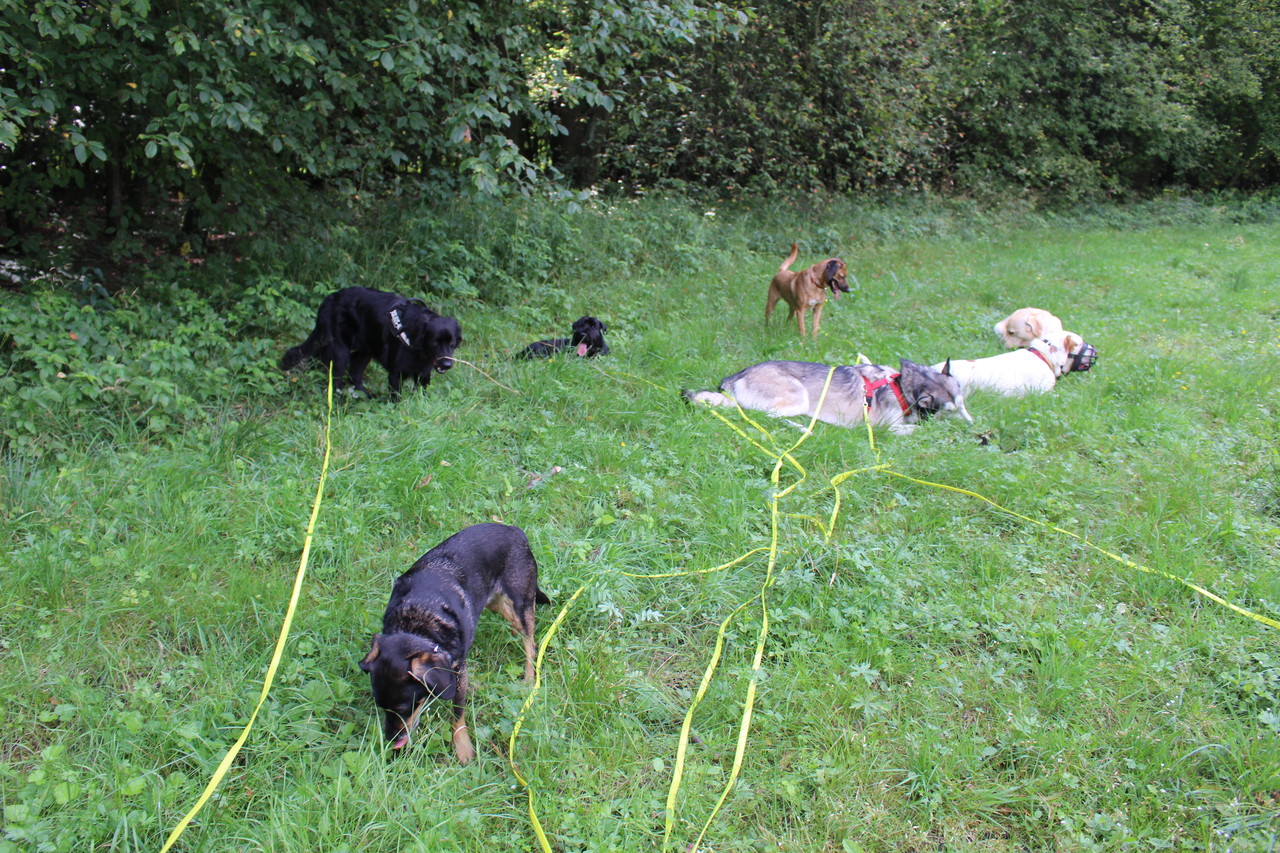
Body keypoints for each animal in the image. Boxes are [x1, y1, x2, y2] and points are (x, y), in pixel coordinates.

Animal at [281, 286, 462, 400]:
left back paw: (366, 395)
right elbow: (396, 396)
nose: (447, 364)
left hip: (365, 348)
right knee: (337, 379)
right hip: (340, 350)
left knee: (355, 373)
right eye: (434, 342)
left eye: (452, 341)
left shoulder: (423, 373)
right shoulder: (396, 373)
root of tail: (329, 298)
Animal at [359, 523, 549, 764]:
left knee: (529, 641)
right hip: (495, 603)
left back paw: (529, 677)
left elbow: (457, 712)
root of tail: (515, 530)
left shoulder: (459, 673)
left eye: (404, 707)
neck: (417, 620)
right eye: (381, 706)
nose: (394, 742)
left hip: (520, 601)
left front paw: (463, 748)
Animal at [683, 359, 972, 435]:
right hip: (798, 396)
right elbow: (920, 431)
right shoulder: (885, 428)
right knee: (763, 416)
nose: (972, 426)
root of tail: (733, 379)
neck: (902, 386)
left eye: (963, 405)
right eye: (950, 411)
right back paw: (803, 428)